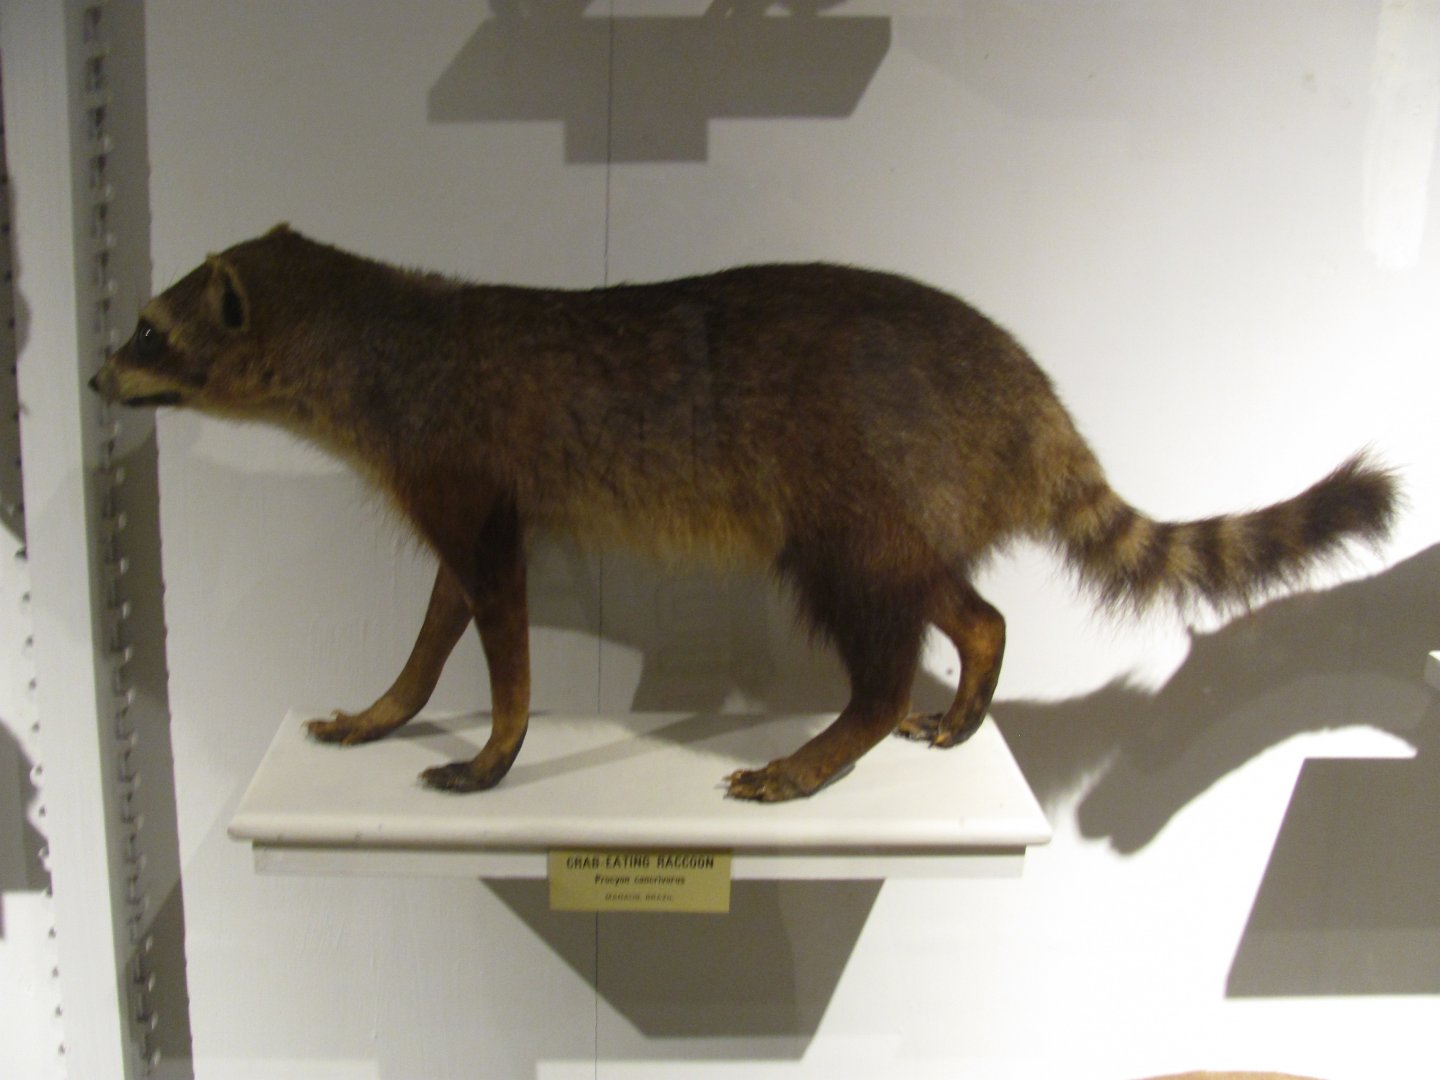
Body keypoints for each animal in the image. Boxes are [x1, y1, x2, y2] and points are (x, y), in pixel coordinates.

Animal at [91, 225, 1398, 800]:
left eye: (149, 328)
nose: (94, 378)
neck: (379, 335)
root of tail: (1024, 392)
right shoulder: (457, 492)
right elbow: (442, 612)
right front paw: (387, 706)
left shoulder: (464, 471)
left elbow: (499, 622)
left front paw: (498, 744)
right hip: (907, 506)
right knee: (961, 602)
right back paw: (968, 681)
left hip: (859, 486)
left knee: (880, 635)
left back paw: (838, 739)